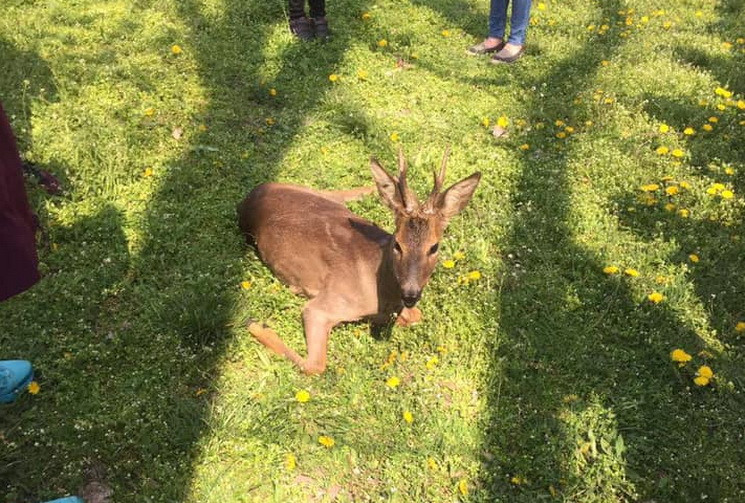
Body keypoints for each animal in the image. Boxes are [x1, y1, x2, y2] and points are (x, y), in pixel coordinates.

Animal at [240, 149, 482, 374]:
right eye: (398, 244)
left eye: (434, 247)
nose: (410, 294)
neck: (381, 291)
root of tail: (252, 194)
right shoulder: (321, 307)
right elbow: (315, 366)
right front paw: (255, 324)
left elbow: (415, 316)